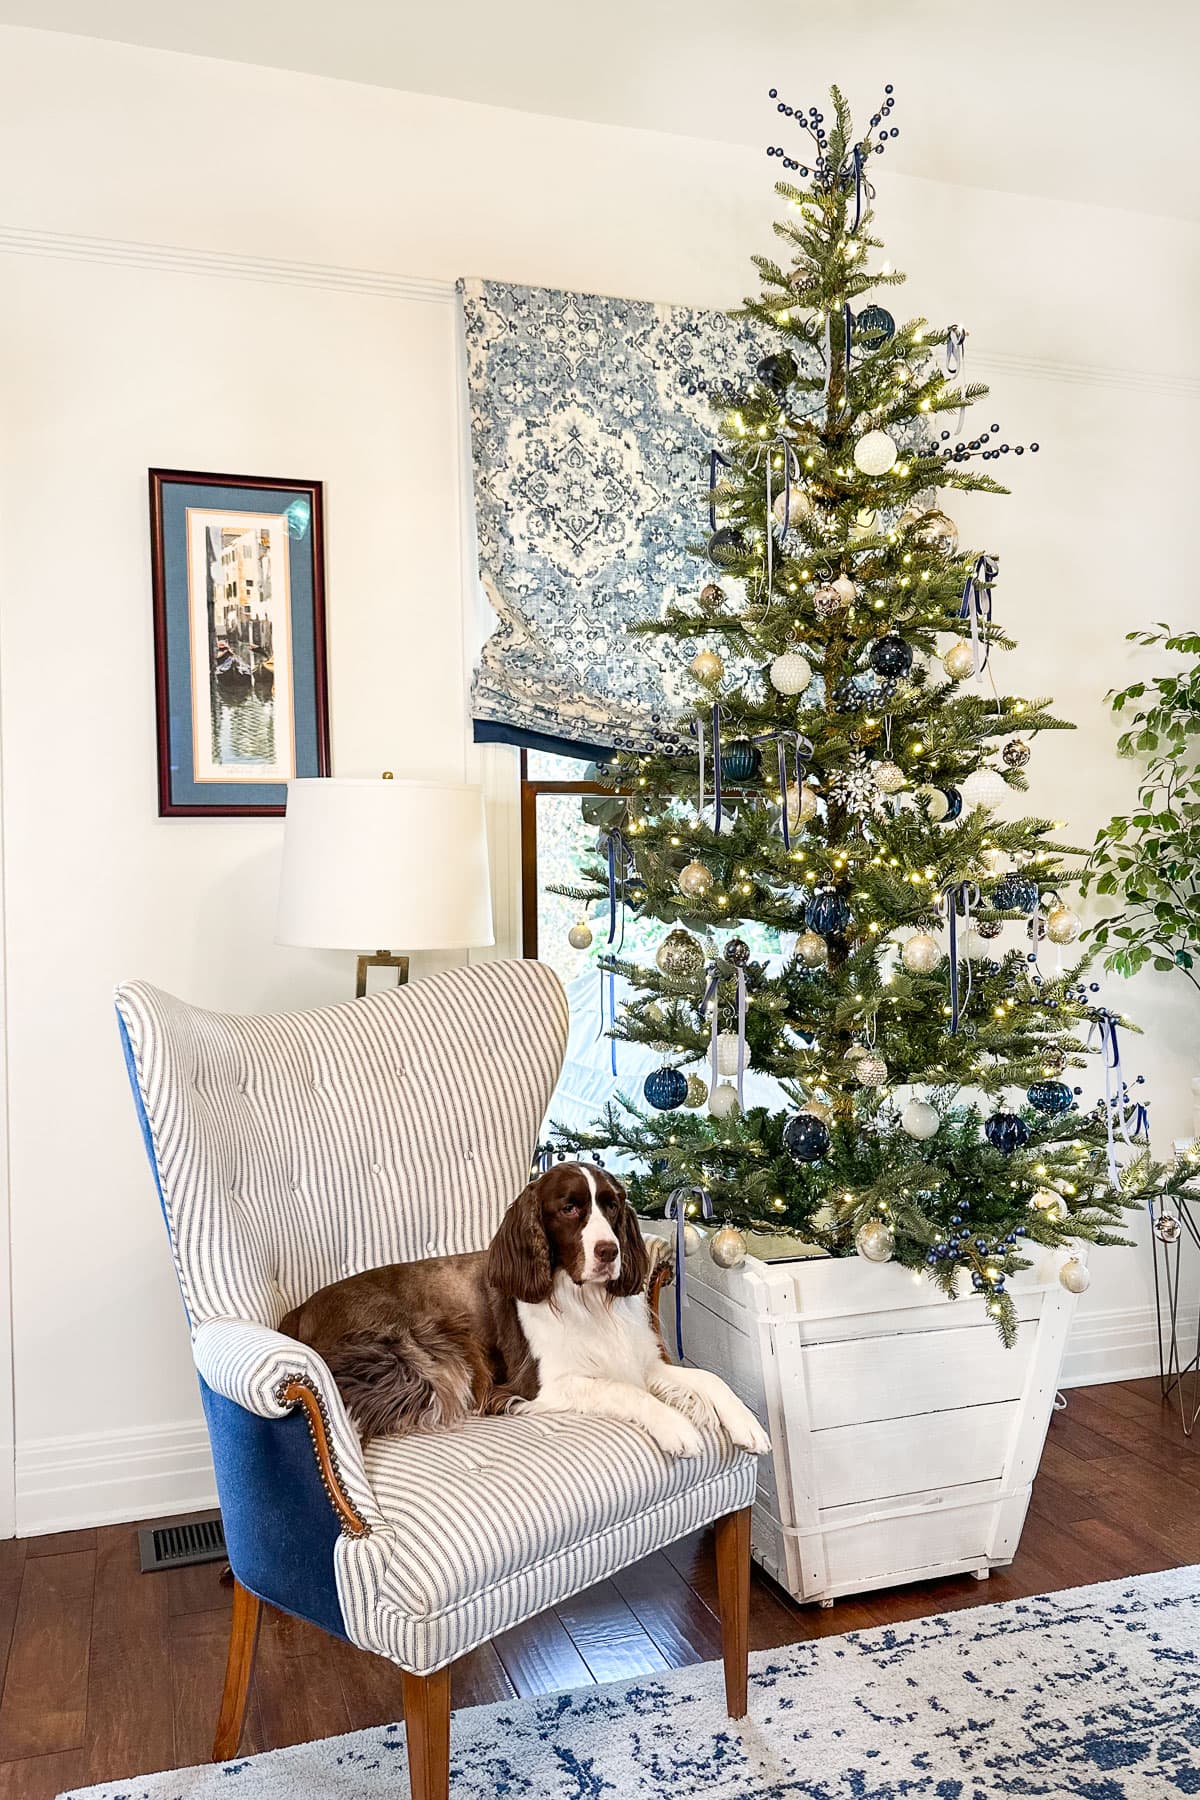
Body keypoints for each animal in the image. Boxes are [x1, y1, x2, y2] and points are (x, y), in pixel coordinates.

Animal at [282, 1159, 770, 1454]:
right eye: (569, 1208)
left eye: (611, 1206)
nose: (610, 1252)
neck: (585, 1301)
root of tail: (299, 1311)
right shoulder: (541, 1385)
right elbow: (625, 1391)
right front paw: (677, 1428)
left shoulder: (639, 1360)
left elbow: (707, 1379)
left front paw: (747, 1423)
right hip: (436, 1346)